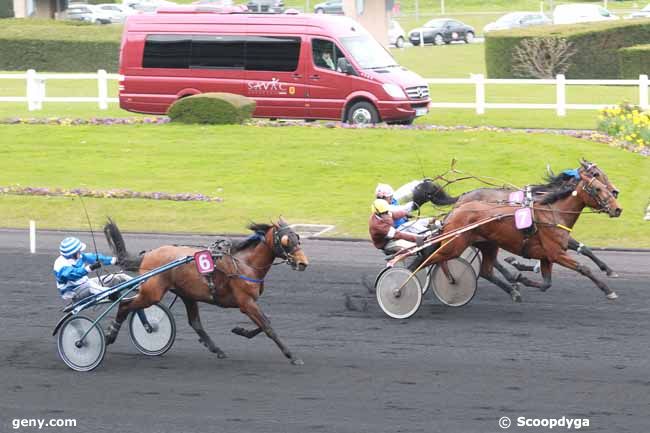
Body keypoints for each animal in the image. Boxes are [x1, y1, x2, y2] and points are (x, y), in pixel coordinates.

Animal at [102, 218, 310, 362]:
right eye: (286, 240)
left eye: (297, 238)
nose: (303, 263)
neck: (245, 263)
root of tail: (147, 255)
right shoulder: (246, 302)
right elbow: (267, 326)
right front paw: (292, 356)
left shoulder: (249, 303)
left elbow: (264, 323)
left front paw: (240, 330)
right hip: (152, 293)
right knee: (125, 305)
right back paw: (110, 334)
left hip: (187, 294)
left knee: (195, 323)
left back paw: (216, 349)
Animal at [412, 162, 620, 300]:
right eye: (596, 177)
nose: (616, 197)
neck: (552, 208)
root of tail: (461, 200)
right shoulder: (554, 251)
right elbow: (582, 266)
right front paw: (608, 289)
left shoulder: (553, 247)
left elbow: (583, 250)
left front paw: (609, 270)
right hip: (460, 241)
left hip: (482, 241)